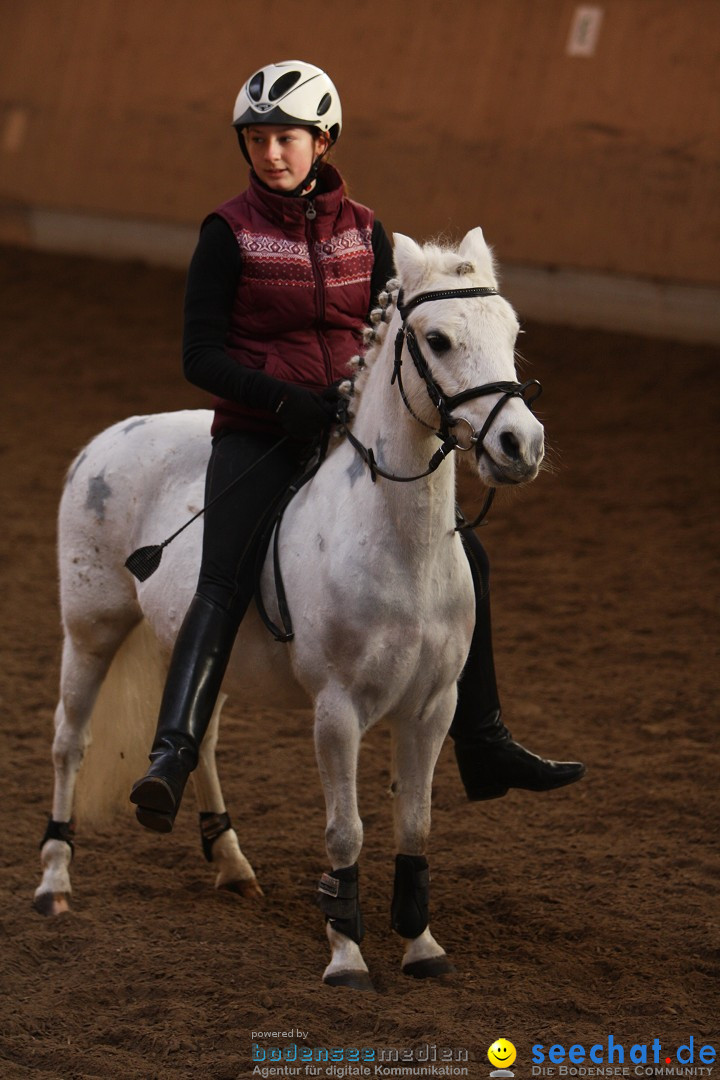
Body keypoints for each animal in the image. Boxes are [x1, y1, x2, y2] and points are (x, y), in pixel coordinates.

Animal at [36, 227, 544, 989]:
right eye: (438, 340)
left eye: (511, 332)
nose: (522, 444)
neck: (400, 548)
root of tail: (111, 435)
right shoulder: (337, 709)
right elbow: (346, 829)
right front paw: (347, 955)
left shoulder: (433, 707)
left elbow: (417, 822)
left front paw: (421, 946)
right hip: (92, 628)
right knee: (71, 739)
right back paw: (56, 880)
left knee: (202, 736)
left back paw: (231, 864)